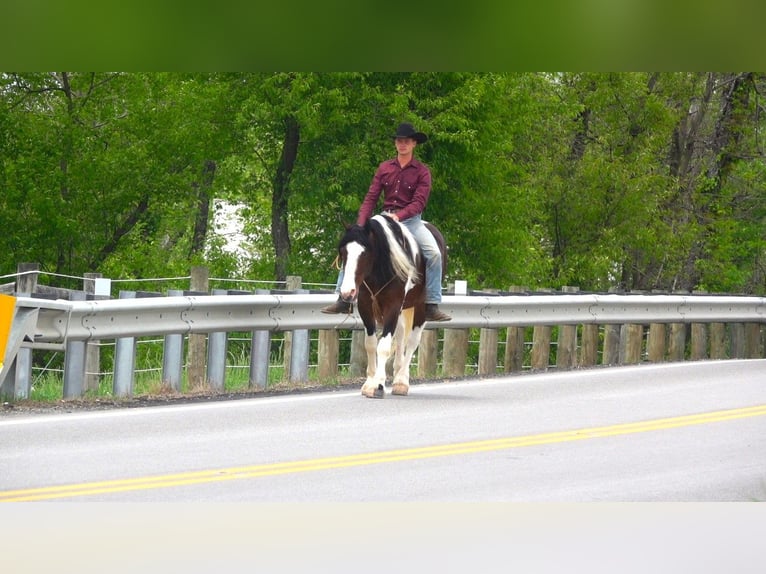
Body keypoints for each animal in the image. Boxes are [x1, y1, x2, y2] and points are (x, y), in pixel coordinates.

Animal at [340, 216, 448, 400]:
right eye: (343, 252)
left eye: (364, 253)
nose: (348, 292)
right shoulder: (365, 306)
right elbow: (370, 344)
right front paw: (369, 383)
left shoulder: (393, 306)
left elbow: (383, 347)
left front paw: (378, 385)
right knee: (400, 336)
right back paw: (397, 372)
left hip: (420, 308)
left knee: (412, 342)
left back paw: (401, 382)